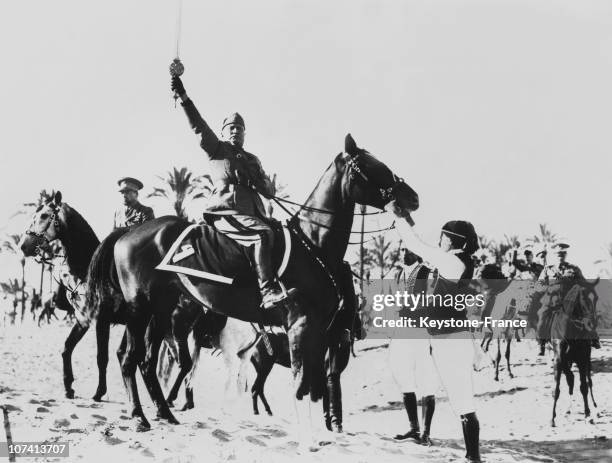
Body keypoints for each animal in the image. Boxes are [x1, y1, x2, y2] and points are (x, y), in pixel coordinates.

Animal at [107, 135, 418, 432]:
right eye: (371, 166)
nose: (412, 196)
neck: (311, 243)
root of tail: (129, 232)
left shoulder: (318, 331)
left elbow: (315, 387)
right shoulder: (301, 326)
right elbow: (302, 385)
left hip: (160, 311)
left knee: (147, 361)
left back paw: (164, 413)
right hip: (141, 310)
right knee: (130, 358)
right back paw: (139, 417)